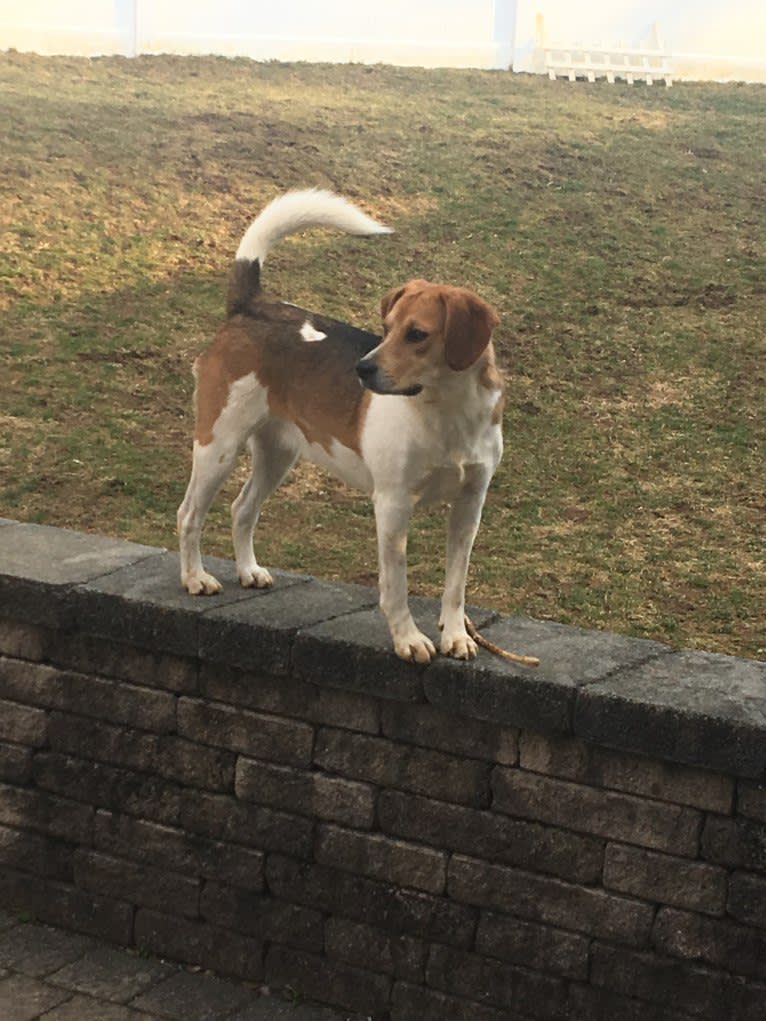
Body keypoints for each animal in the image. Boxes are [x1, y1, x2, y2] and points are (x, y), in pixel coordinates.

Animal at [176, 188, 506, 661]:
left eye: (417, 334)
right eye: (386, 328)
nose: (362, 369)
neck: (446, 411)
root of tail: (251, 307)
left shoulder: (469, 505)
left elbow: (456, 585)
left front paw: (456, 634)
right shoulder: (393, 505)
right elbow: (396, 586)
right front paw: (408, 638)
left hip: (277, 454)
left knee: (242, 508)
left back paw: (249, 570)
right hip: (218, 446)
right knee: (189, 514)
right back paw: (194, 578)